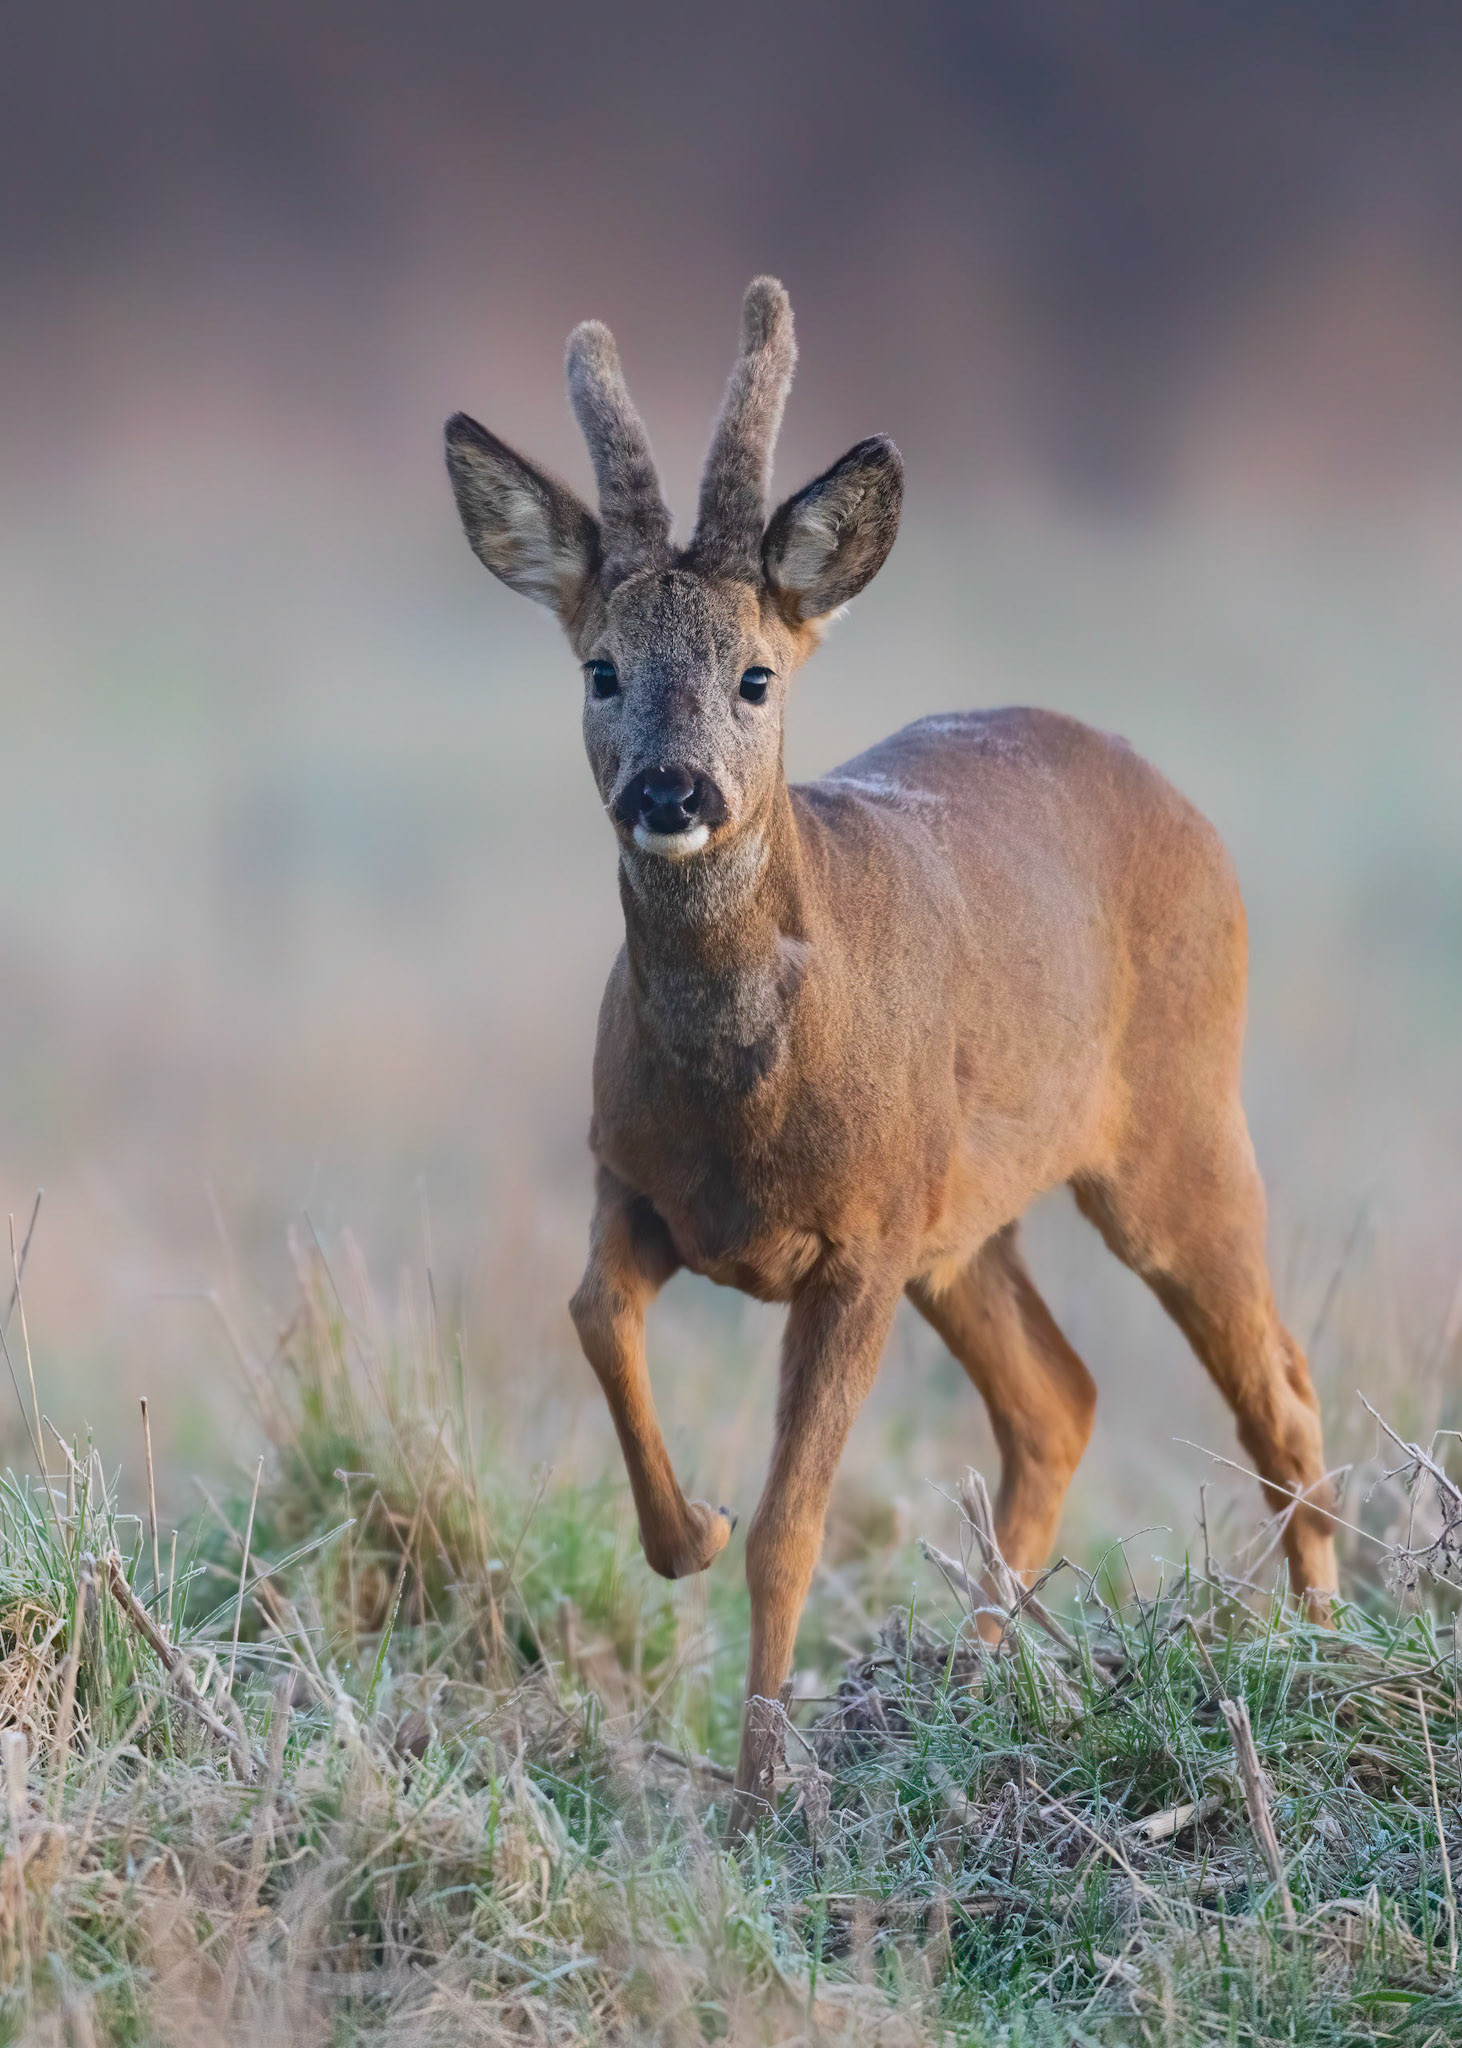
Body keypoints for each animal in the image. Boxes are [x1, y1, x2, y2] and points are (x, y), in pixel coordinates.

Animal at [444, 277, 1338, 1832]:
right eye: (601, 668)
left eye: (755, 675)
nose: (670, 791)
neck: (743, 1098)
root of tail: (1170, 792)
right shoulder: (633, 1183)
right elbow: (591, 1315)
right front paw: (682, 1529)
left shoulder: (856, 1243)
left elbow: (794, 1528)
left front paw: (754, 1799)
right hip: (961, 1220)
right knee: (1058, 1401)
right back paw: (977, 1680)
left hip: (1172, 1127)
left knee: (1276, 1392)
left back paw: (1335, 1647)